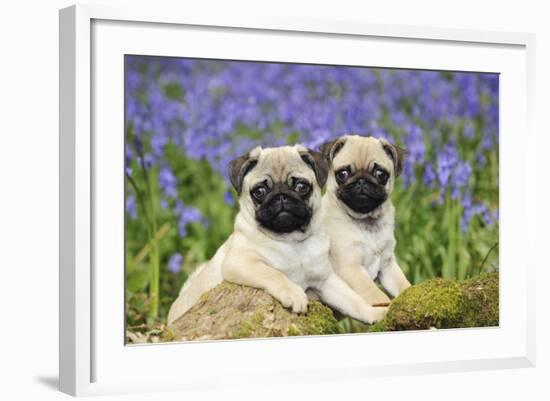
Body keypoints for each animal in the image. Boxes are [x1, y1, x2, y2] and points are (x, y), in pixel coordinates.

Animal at [168, 144, 388, 324]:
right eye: (259, 191)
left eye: (301, 186)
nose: (281, 197)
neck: (292, 241)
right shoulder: (240, 262)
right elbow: (273, 273)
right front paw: (294, 293)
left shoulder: (326, 281)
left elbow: (354, 301)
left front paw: (375, 313)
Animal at [322, 136, 412, 304]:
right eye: (342, 174)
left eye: (380, 174)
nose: (362, 181)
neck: (367, 220)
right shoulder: (351, 268)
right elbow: (376, 295)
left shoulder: (387, 265)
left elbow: (403, 285)